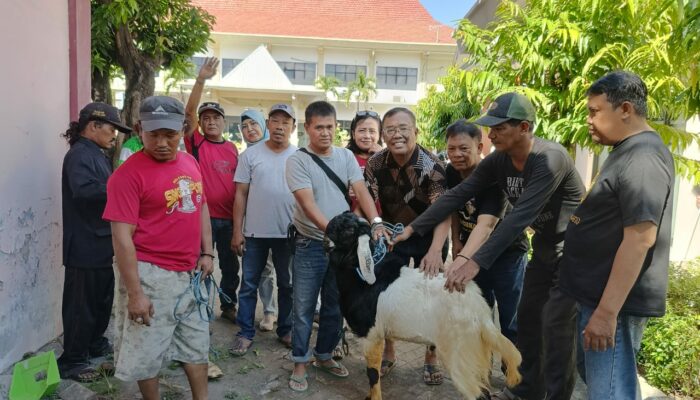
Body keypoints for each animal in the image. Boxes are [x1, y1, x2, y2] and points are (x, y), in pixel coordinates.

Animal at [326, 211, 524, 398]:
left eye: (348, 230)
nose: (326, 233)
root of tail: (481, 314)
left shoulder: (372, 334)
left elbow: (372, 374)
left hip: (461, 356)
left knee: (479, 393)